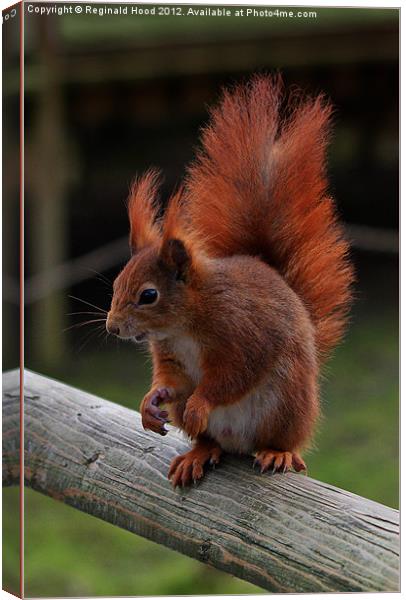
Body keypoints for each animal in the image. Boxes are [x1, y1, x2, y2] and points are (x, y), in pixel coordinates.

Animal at [106, 75, 354, 488]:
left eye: (148, 295)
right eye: (115, 286)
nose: (112, 327)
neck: (186, 323)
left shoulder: (244, 334)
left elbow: (231, 377)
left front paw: (201, 402)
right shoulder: (170, 355)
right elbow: (171, 378)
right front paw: (149, 400)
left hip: (287, 402)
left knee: (280, 438)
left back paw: (278, 452)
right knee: (211, 441)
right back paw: (199, 452)